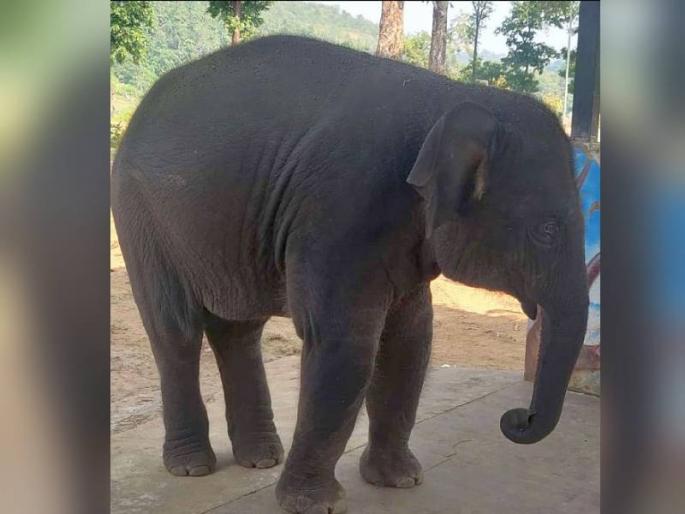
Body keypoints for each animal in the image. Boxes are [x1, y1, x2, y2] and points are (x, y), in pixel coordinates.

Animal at [112, 35, 589, 513]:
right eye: (547, 231)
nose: (517, 419)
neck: (450, 97)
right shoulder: (340, 211)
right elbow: (345, 345)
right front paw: (314, 505)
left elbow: (410, 340)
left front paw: (400, 481)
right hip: (142, 218)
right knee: (175, 332)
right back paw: (192, 467)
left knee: (239, 330)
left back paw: (260, 459)